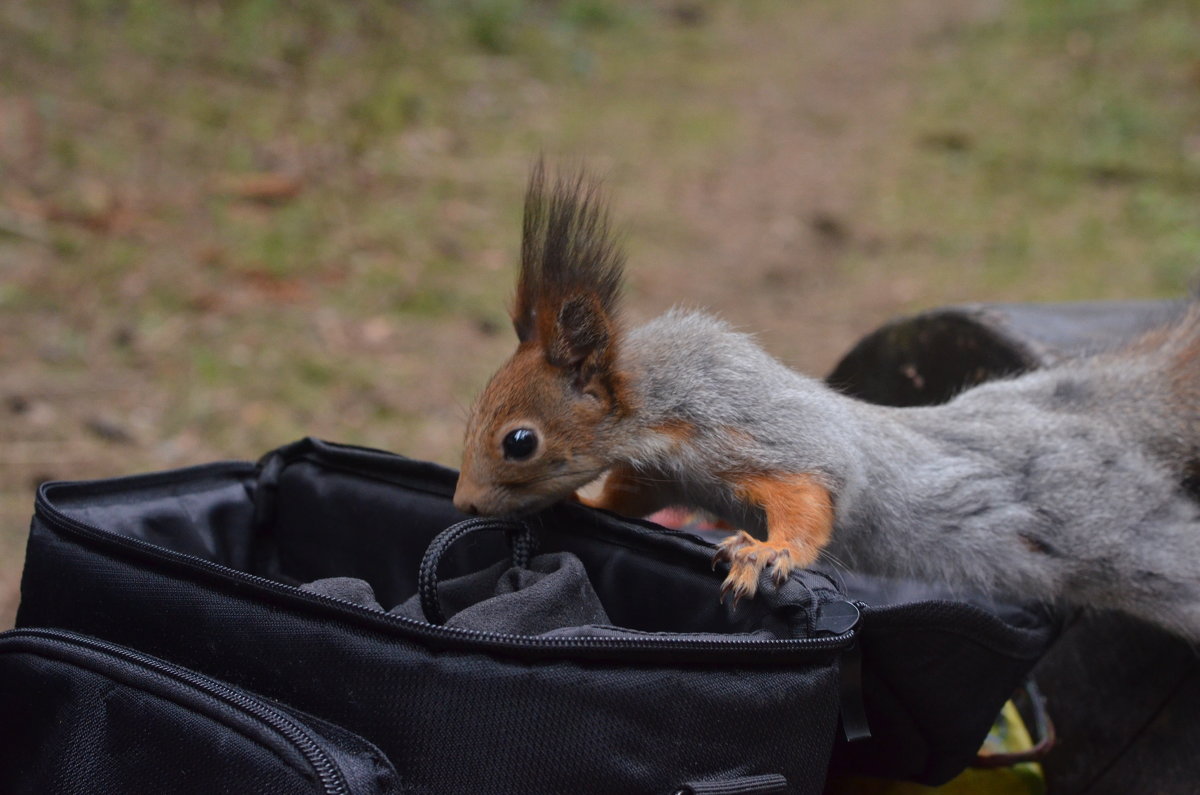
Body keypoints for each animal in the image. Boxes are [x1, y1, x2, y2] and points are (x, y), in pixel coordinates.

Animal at [453, 163, 1200, 643]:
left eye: (519, 441)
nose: (463, 502)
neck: (655, 401)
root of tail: (1079, 410)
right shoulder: (663, 471)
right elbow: (632, 495)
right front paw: (590, 501)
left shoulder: (746, 429)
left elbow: (814, 493)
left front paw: (767, 553)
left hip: (1123, 539)